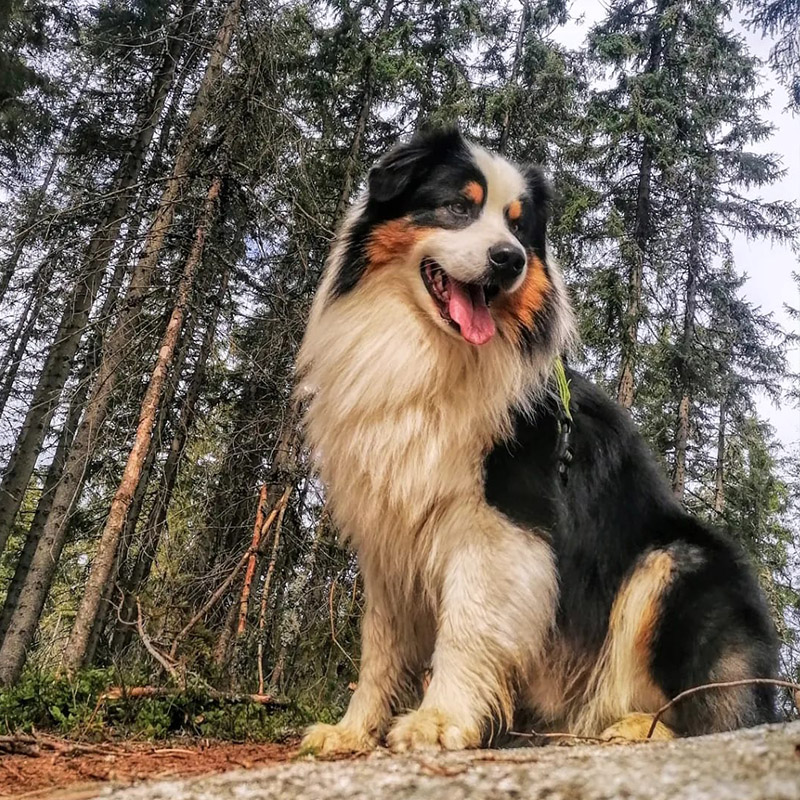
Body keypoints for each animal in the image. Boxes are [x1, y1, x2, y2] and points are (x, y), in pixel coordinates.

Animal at [296, 128, 780, 752]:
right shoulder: (390, 535)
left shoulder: (501, 525)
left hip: (674, 565)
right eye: (458, 207)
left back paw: (636, 729)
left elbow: (466, 625)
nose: (510, 260)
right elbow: (380, 649)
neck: (432, 354)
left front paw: (438, 720)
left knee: (720, 716)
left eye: (519, 228)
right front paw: (351, 731)